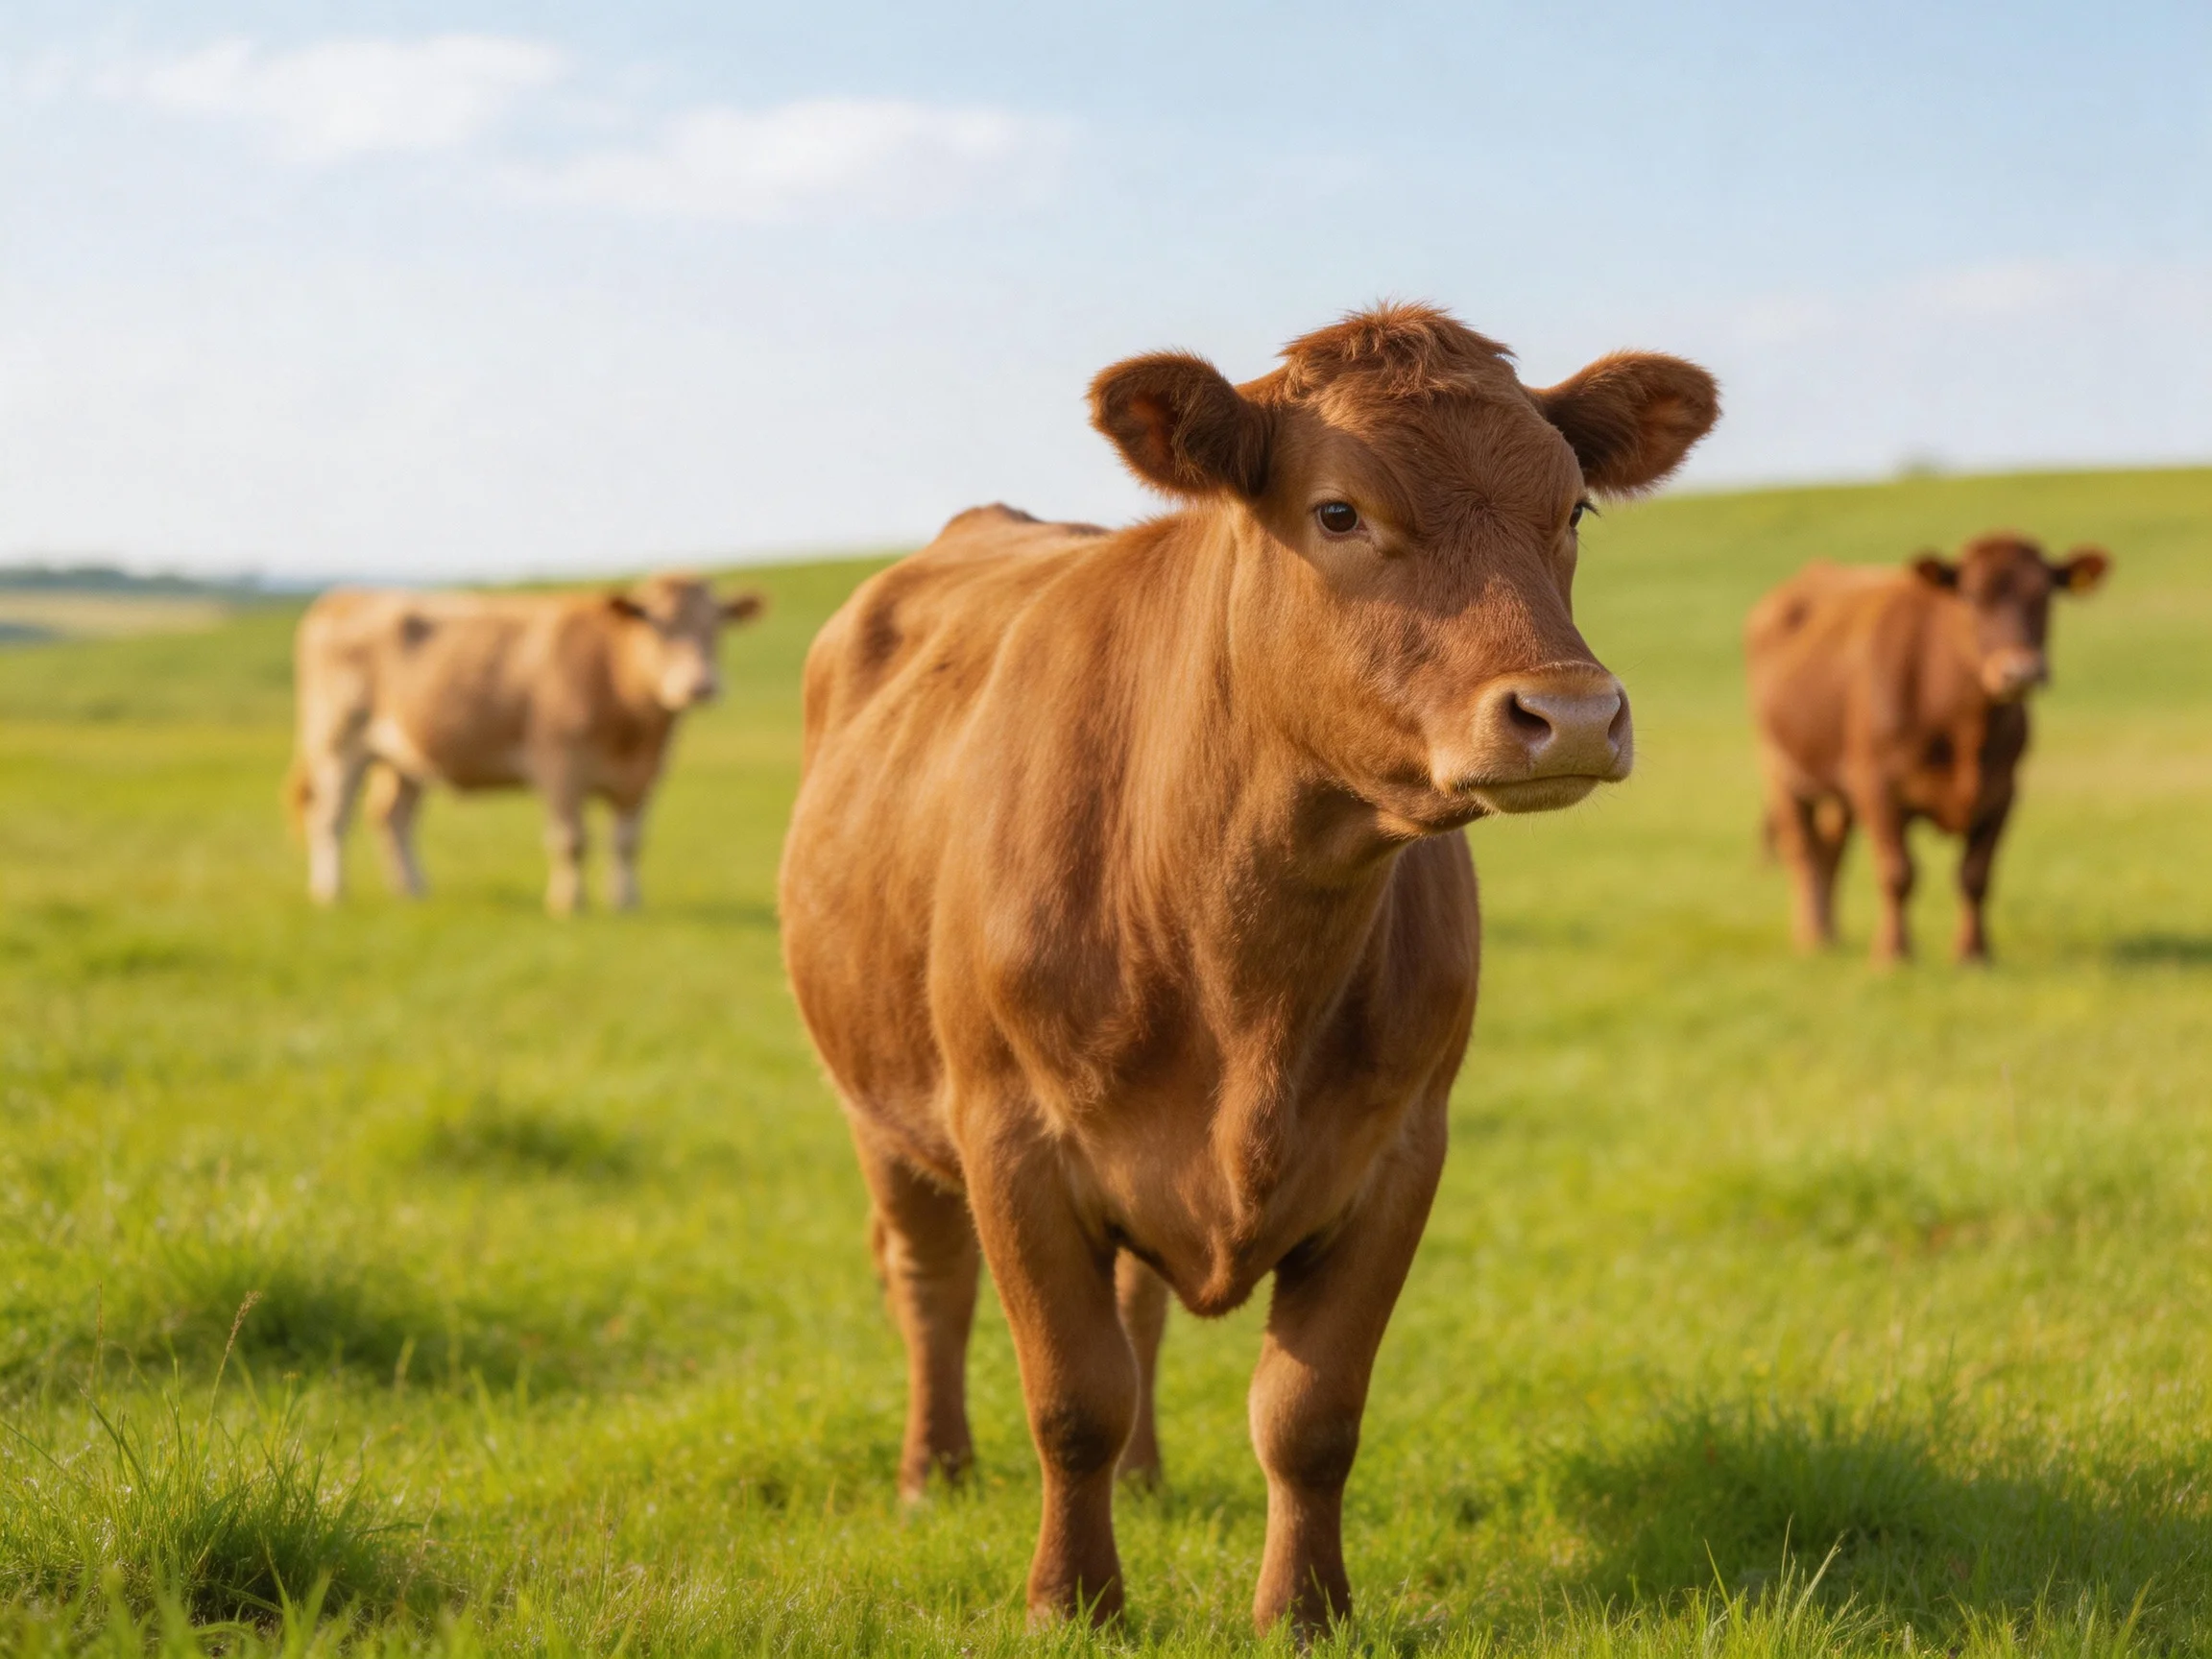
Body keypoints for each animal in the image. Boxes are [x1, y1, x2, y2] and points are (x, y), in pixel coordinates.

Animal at [288, 573, 764, 913]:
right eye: (657, 626)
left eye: (715, 627)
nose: (699, 686)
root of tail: (344, 597)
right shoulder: (559, 765)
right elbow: (572, 841)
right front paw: (569, 905)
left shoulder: (644, 775)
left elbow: (628, 842)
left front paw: (627, 903)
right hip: (338, 740)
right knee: (330, 817)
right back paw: (331, 893)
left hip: (405, 754)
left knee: (391, 817)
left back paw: (413, 890)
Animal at [779, 304, 1720, 1631]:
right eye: (1337, 511)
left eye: (1574, 506)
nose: (1572, 714)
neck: (1241, 963)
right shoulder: (1009, 1138)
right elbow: (1069, 1396)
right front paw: (1072, 1604)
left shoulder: (1399, 1151)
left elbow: (1306, 1414)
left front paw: (1306, 1611)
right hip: (880, 1106)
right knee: (929, 1282)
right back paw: (934, 1475)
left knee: (1135, 1310)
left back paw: (1146, 1478)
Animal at [1746, 533, 2110, 964]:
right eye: (1971, 596)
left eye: (2045, 594)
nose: (2020, 672)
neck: (1963, 727)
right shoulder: (1876, 785)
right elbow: (1897, 872)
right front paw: (1892, 954)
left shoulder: (2003, 791)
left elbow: (1975, 875)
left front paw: (1973, 953)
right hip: (1779, 769)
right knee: (1802, 851)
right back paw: (1813, 937)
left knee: (1832, 850)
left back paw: (1830, 933)